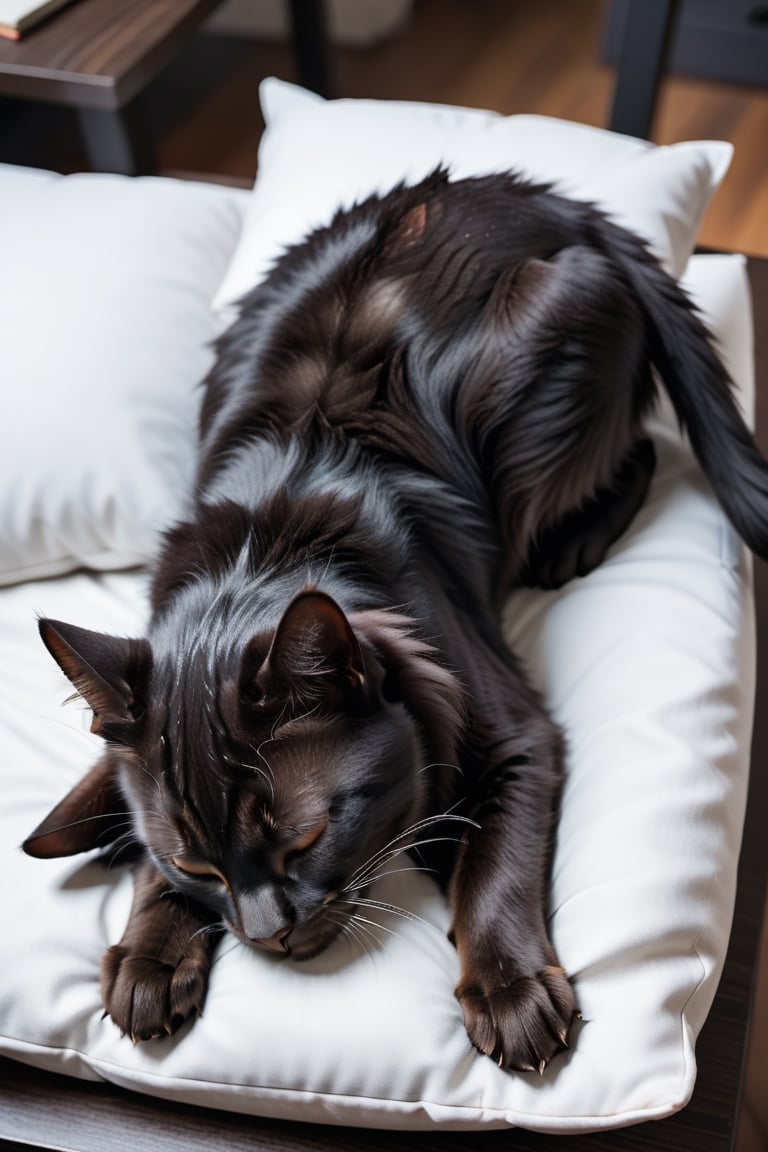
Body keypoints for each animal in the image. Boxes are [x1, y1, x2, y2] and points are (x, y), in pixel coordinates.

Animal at [22, 168, 768, 1069]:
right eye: (199, 867)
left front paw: (510, 993)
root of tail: (536, 195)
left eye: (306, 841)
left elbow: (494, 866)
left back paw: (573, 543)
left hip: (546, 394)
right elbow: (146, 860)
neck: (265, 544)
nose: (267, 935)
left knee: (644, 448)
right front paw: (151, 953)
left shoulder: (517, 736)